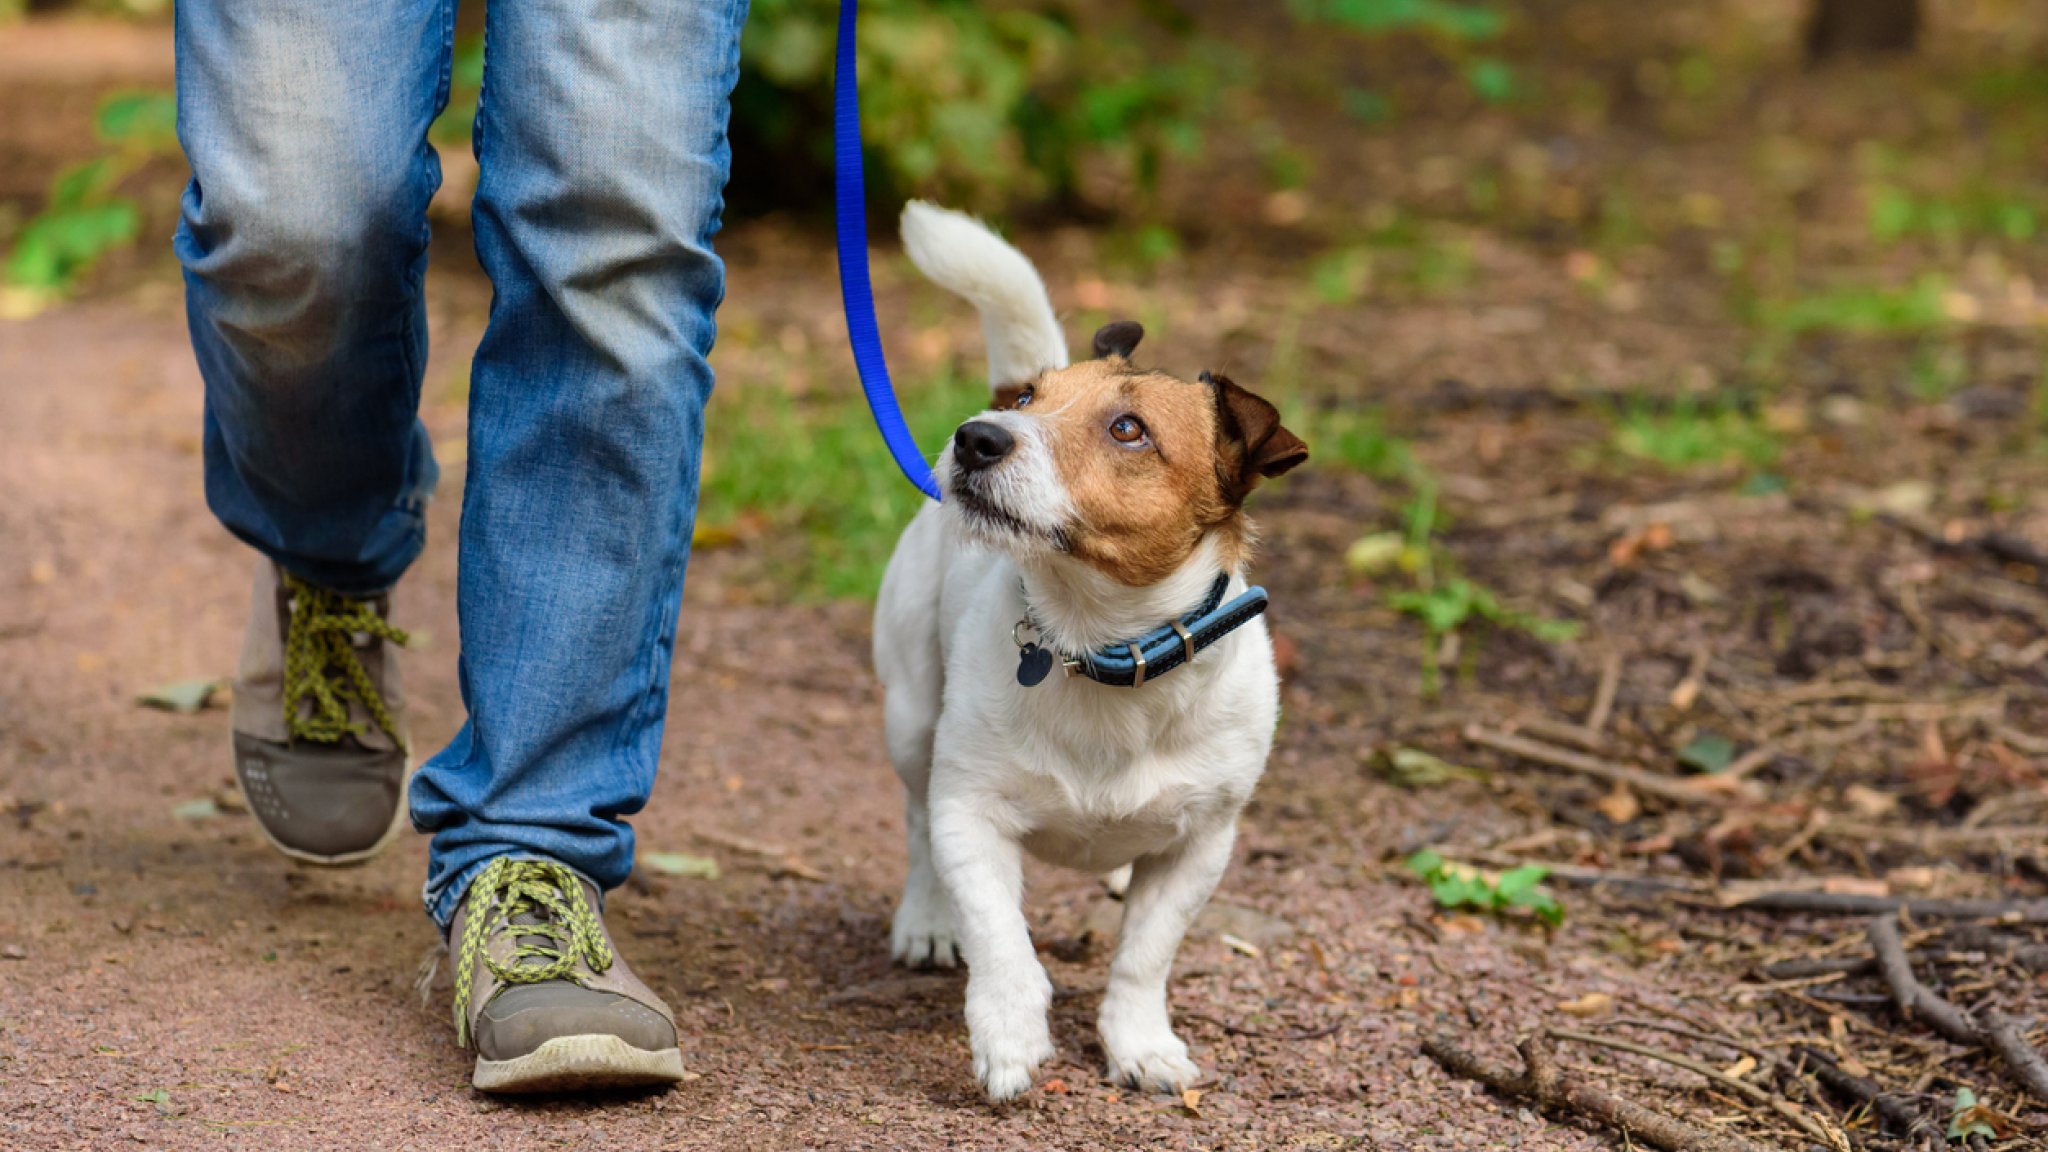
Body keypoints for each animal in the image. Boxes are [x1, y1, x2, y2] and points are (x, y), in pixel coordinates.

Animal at [872, 201, 1302, 1098]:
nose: (975, 436)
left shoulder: (1201, 847)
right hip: (910, 716)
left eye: (1128, 429)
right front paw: (1008, 1033)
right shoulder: (971, 813)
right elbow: (1000, 935)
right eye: (1033, 397)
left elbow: (1145, 957)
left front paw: (1140, 1043)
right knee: (916, 824)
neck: (1097, 645)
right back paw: (927, 919)